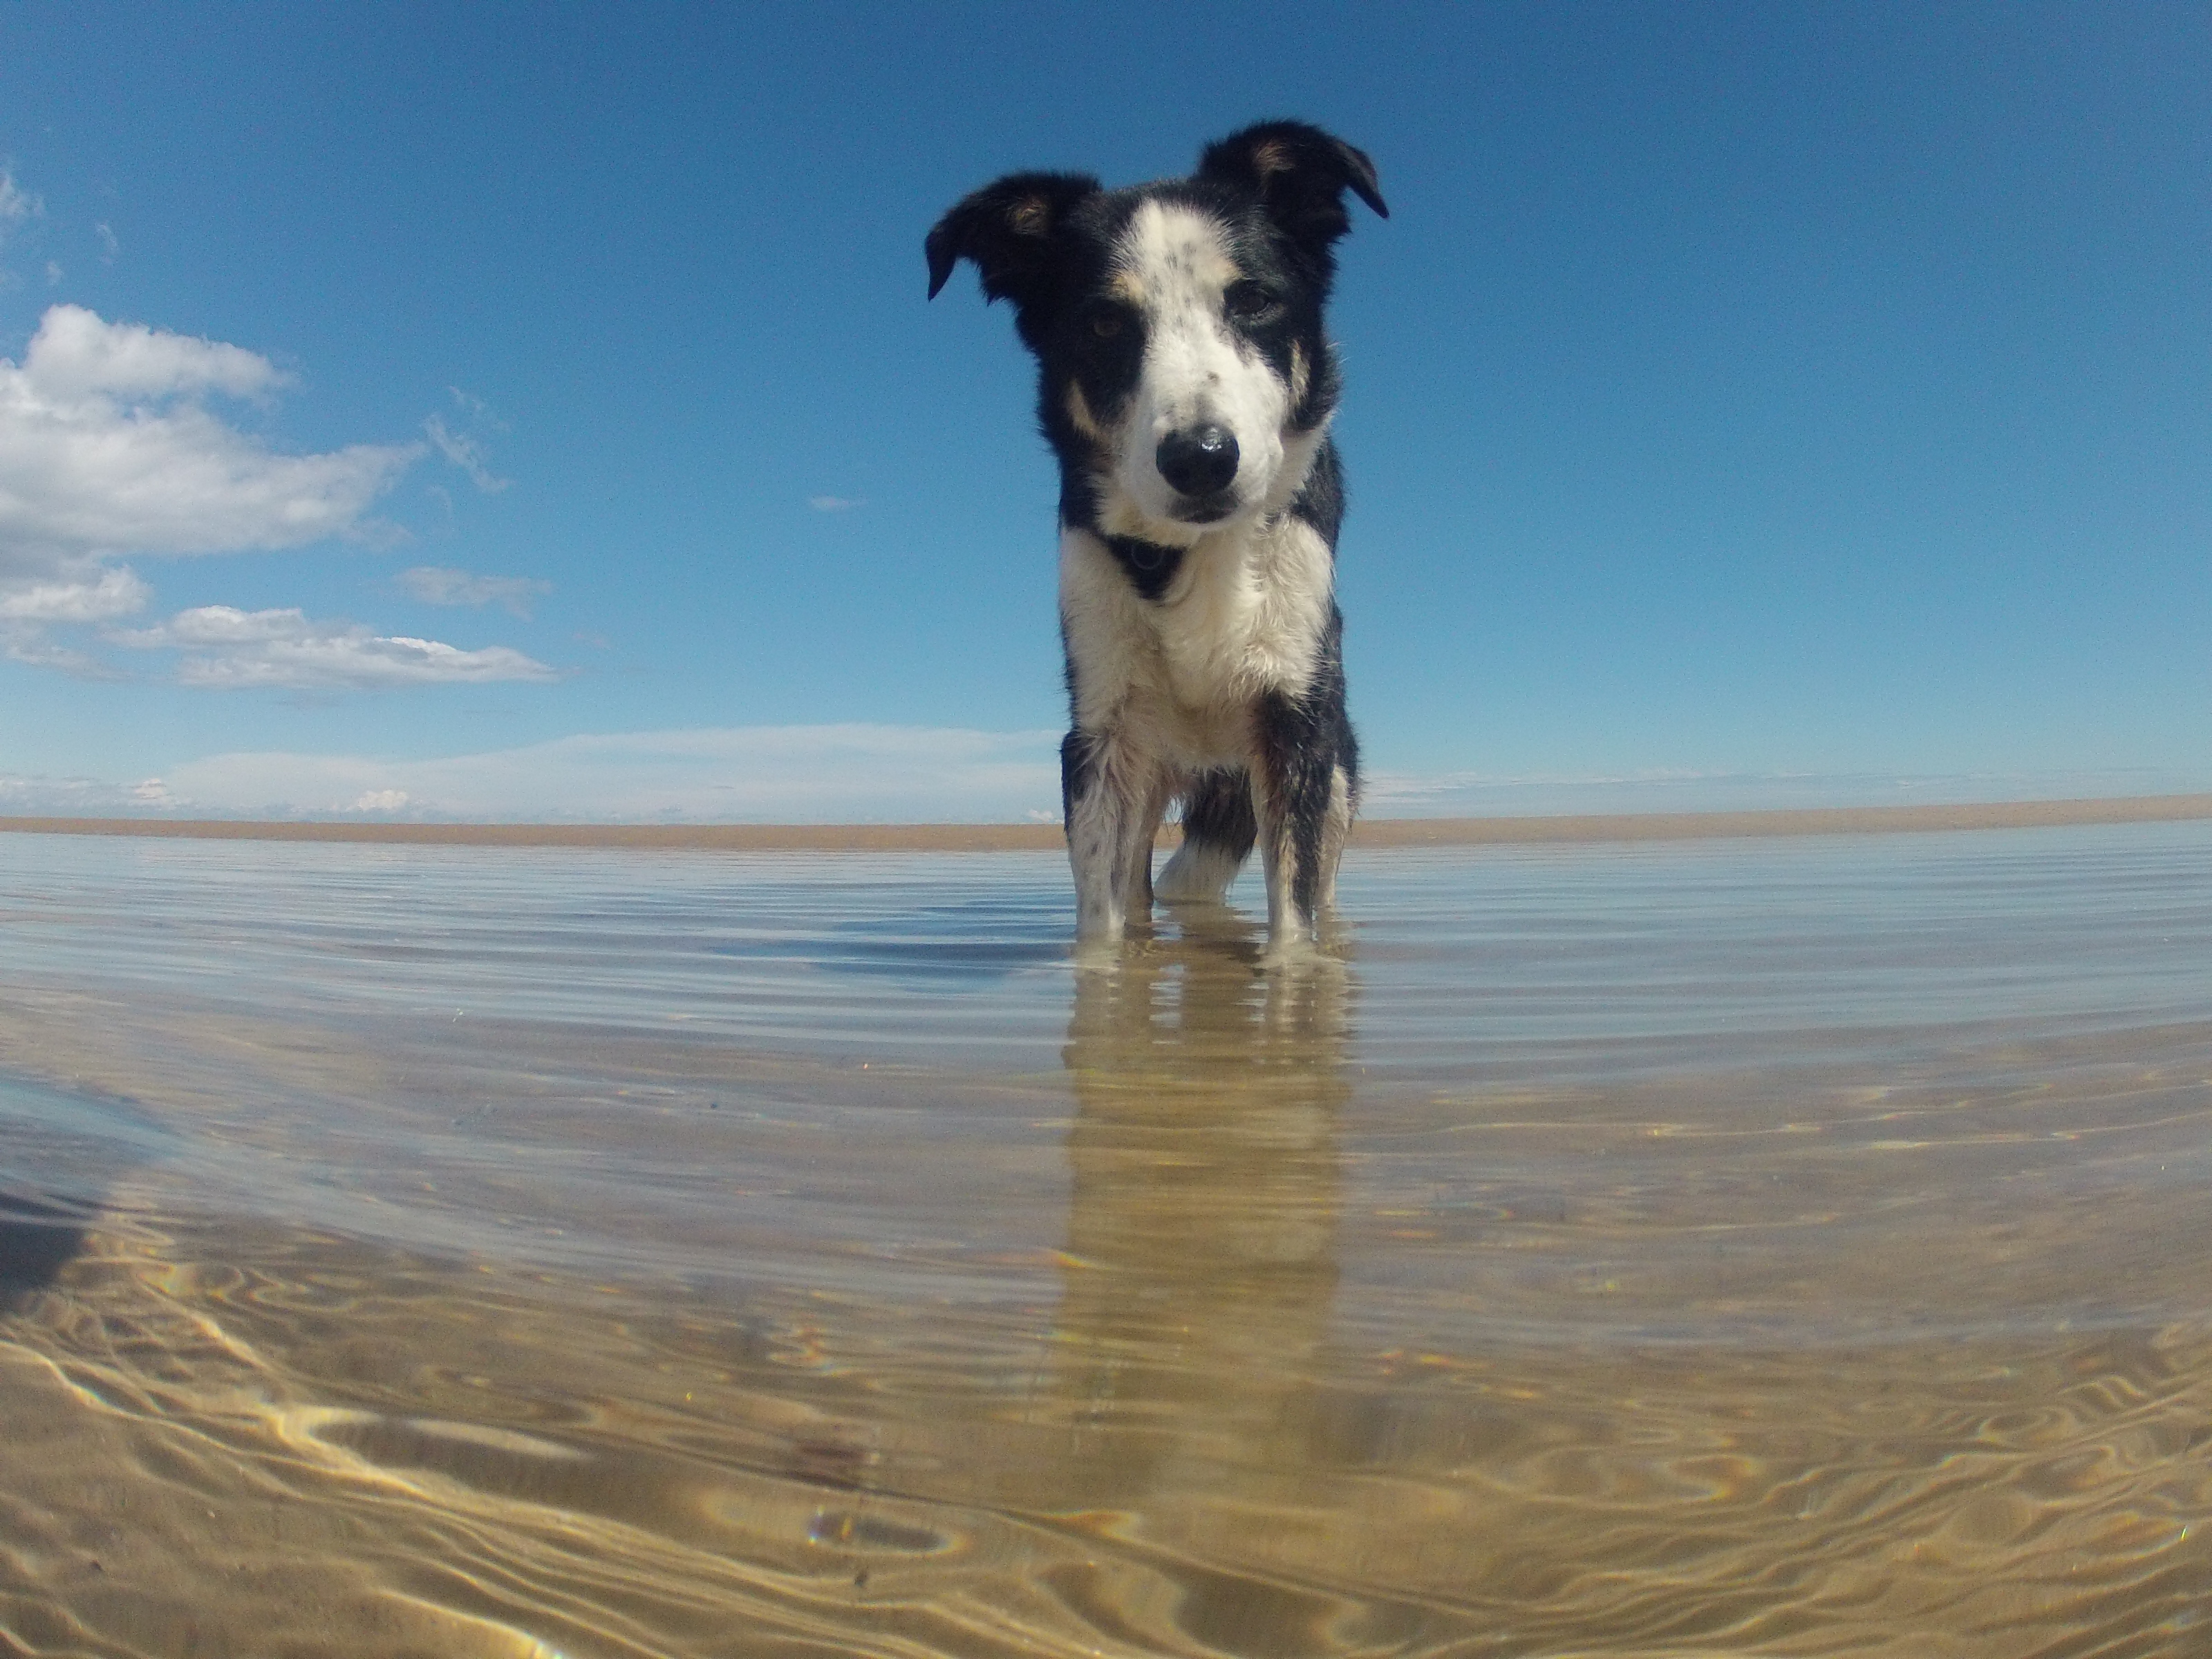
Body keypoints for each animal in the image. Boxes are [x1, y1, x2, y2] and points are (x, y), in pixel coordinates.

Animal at [929, 123, 1380, 955]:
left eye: (1253, 301)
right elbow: (1103, 929)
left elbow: (1295, 928)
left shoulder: (1296, 725)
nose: (1200, 459)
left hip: (1333, 770)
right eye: (1105, 323)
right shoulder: (1102, 739)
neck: (1193, 552)